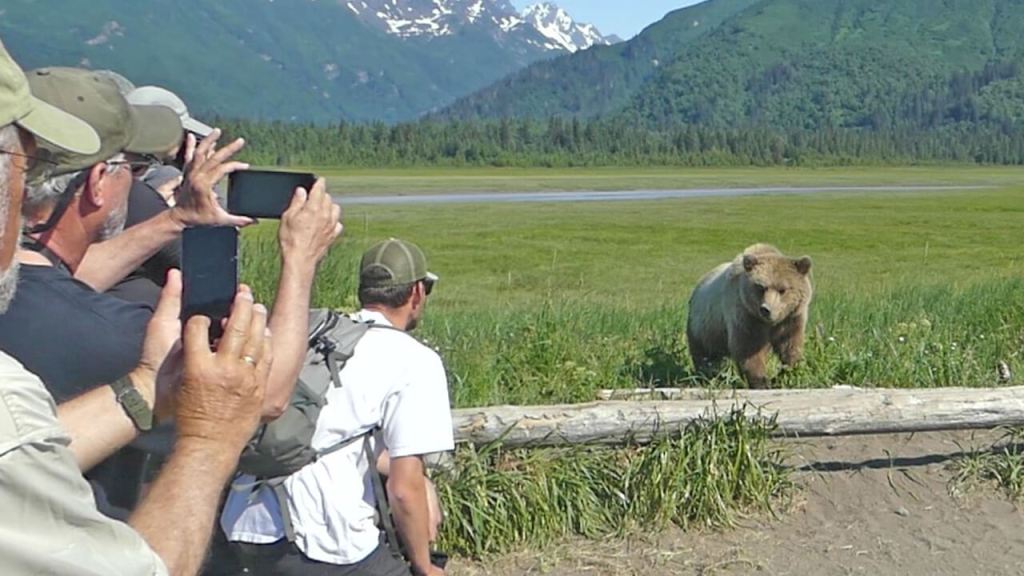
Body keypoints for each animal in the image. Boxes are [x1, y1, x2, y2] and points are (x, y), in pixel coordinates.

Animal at [686, 243, 813, 389]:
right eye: (761, 287)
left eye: (783, 289)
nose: (766, 309)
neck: (770, 323)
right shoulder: (746, 315)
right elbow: (748, 348)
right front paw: (761, 381)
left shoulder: (790, 318)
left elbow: (790, 344)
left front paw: (790, 372)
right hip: (705, 325)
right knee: (704, 353)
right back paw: (706, 375)